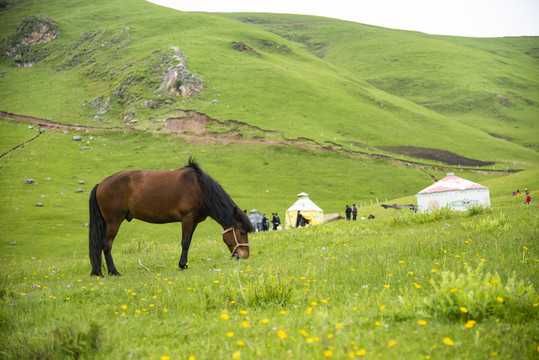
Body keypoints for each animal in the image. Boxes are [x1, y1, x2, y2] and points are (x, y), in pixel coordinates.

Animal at [89, 156, 254, 278]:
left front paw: (184, 264)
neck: (199, 188)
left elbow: (188, 242)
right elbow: (185, 242)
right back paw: (113, 272)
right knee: (106, 245)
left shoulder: (194, 221)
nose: (245, 256)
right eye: (242, 232)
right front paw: (182, 266)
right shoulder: (187, 218)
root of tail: (100, 184)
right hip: (113, 221)